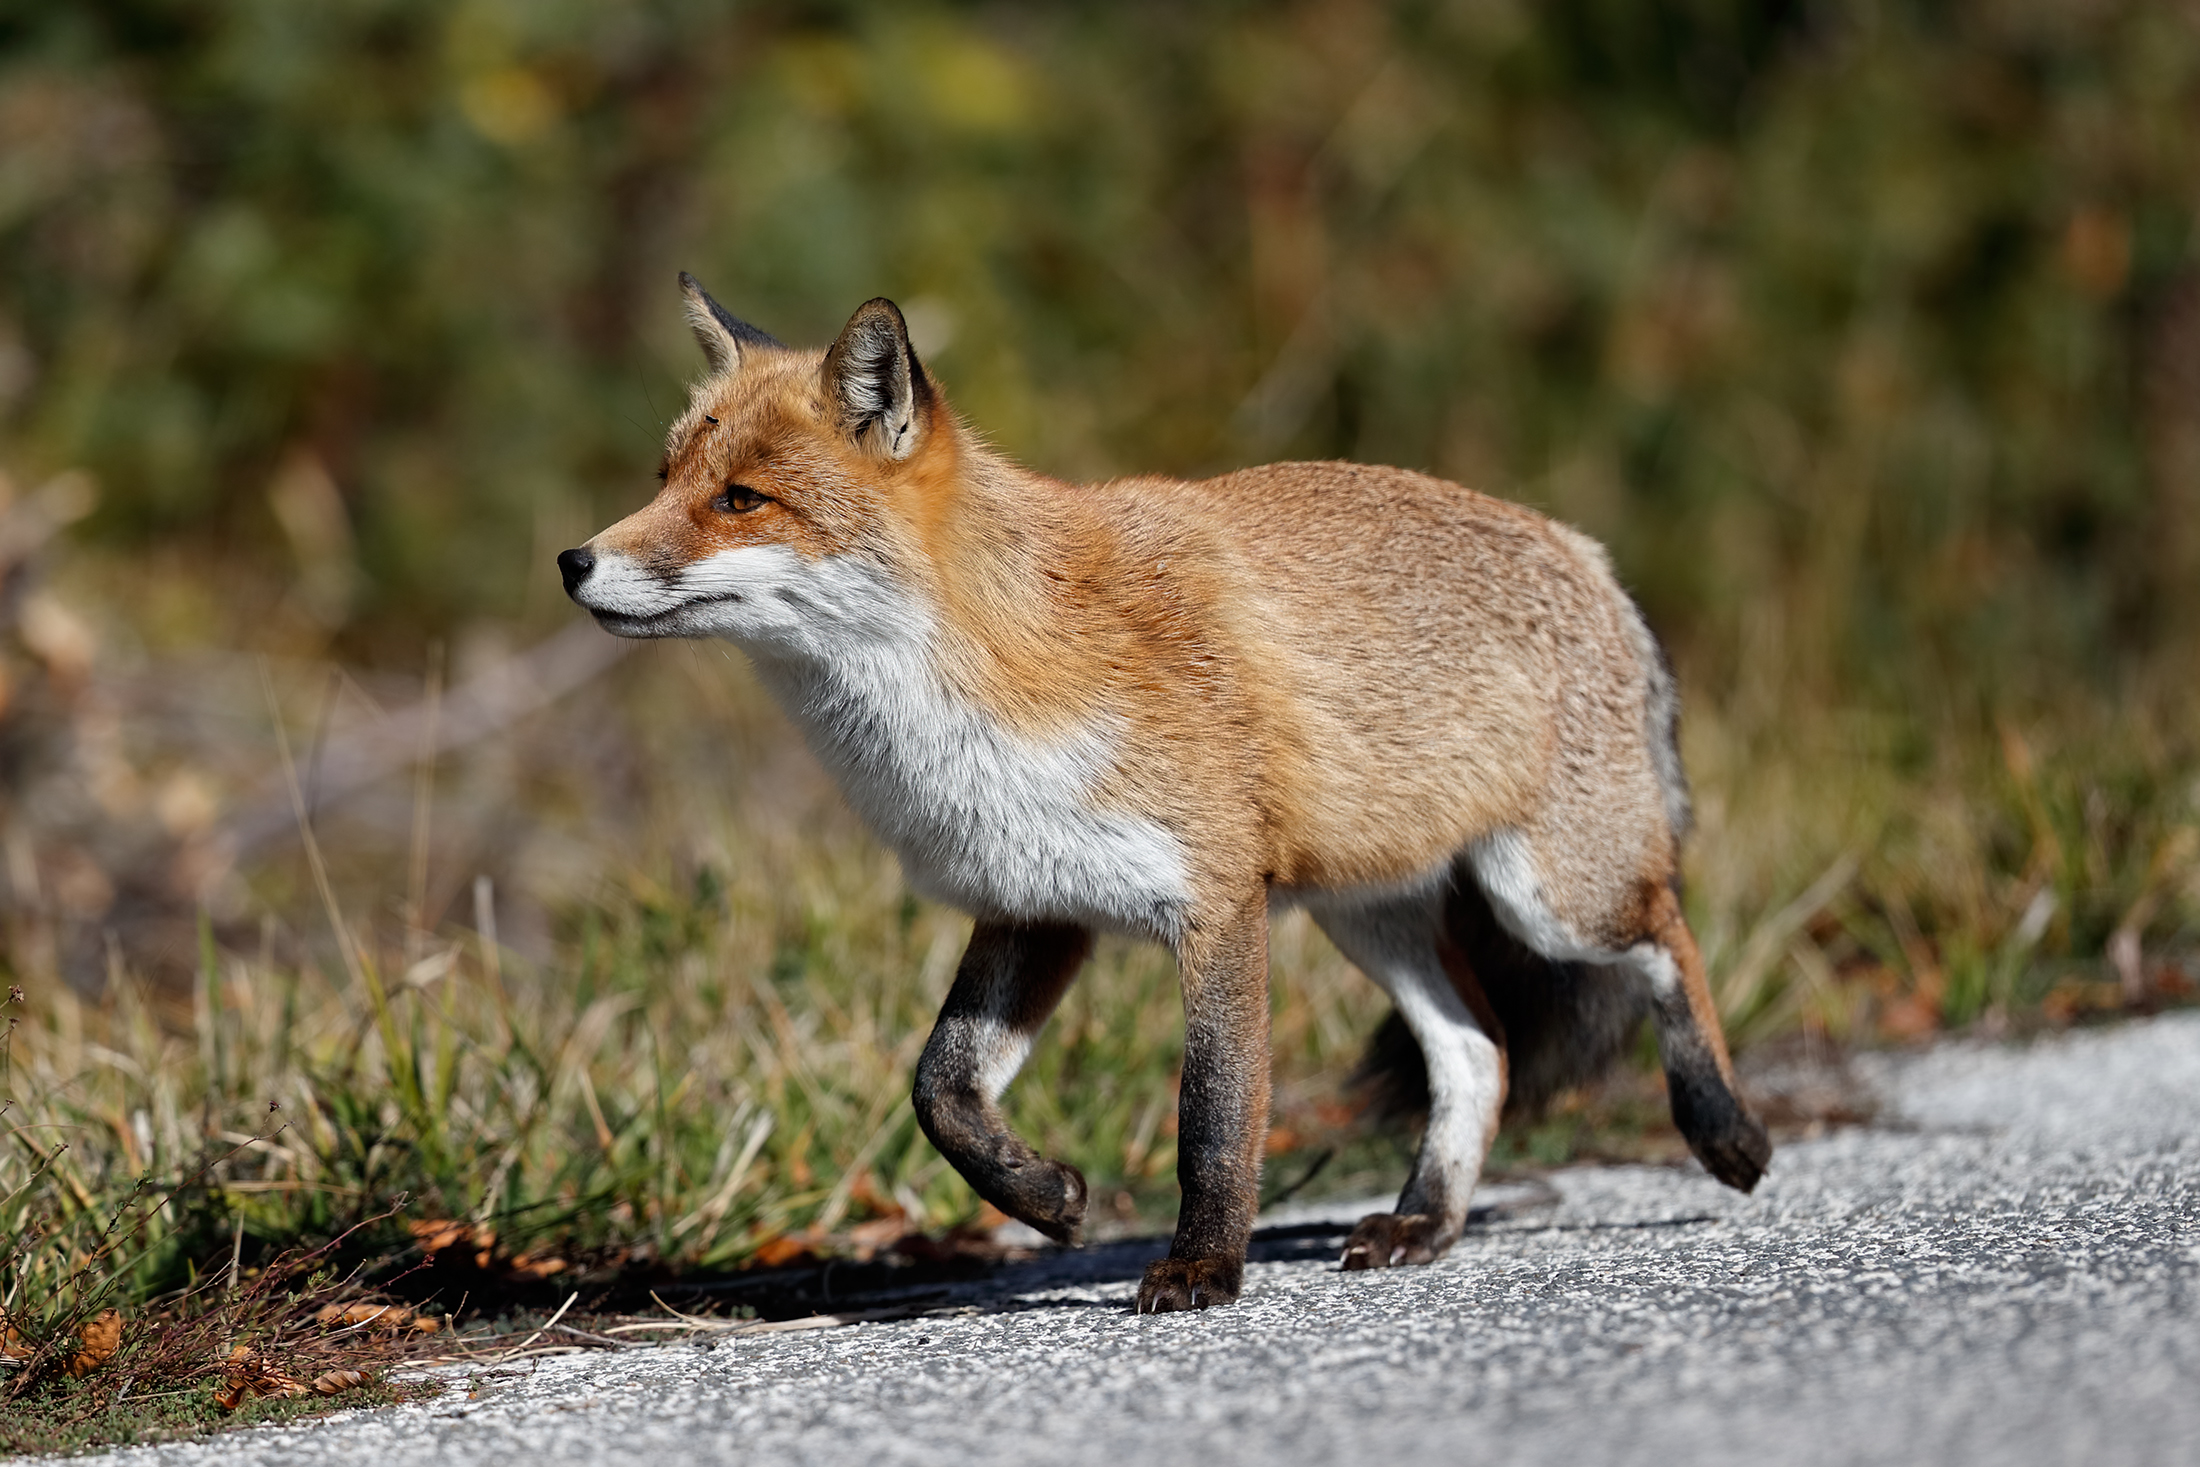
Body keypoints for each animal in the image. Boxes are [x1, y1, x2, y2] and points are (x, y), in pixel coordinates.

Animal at [559, 276, 1771, 1313]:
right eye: (664, 480)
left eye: (741, 500)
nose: (573, 562)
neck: (981, 691)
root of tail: (1583, 550)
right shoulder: (1033, 901)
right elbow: (939, 1090)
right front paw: (1046, 1199)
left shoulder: (1217, 903)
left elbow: (1213, 1117)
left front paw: (1202, 1269)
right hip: (1367, 915)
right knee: (1481, 1050)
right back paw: (1423, 1223)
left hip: (1552, 896)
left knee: (1668, 934)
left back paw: (1725, 1130)